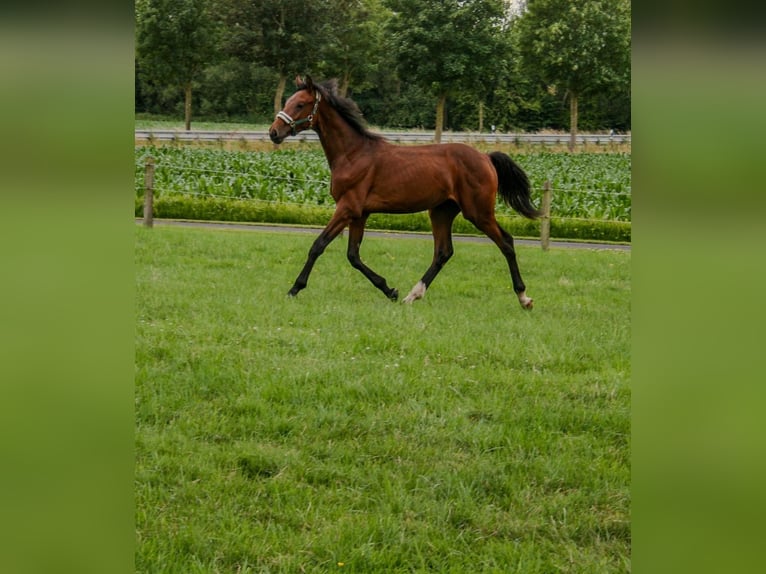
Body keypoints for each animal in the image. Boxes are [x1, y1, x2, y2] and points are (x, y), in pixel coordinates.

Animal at [270, 77, 544, 310]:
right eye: (287, 101)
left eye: (300, 104)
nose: (273, 132)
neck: (353, 154)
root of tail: (486, 158)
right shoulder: (360, 213)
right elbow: (353, 255)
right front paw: (390, 290)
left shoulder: (347, 208)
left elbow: (318, 245)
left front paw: (294, 289)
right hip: (441, 211)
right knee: (443, 252)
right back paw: (413, 295)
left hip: (478, 212)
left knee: (506, 242)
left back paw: (524, 297)